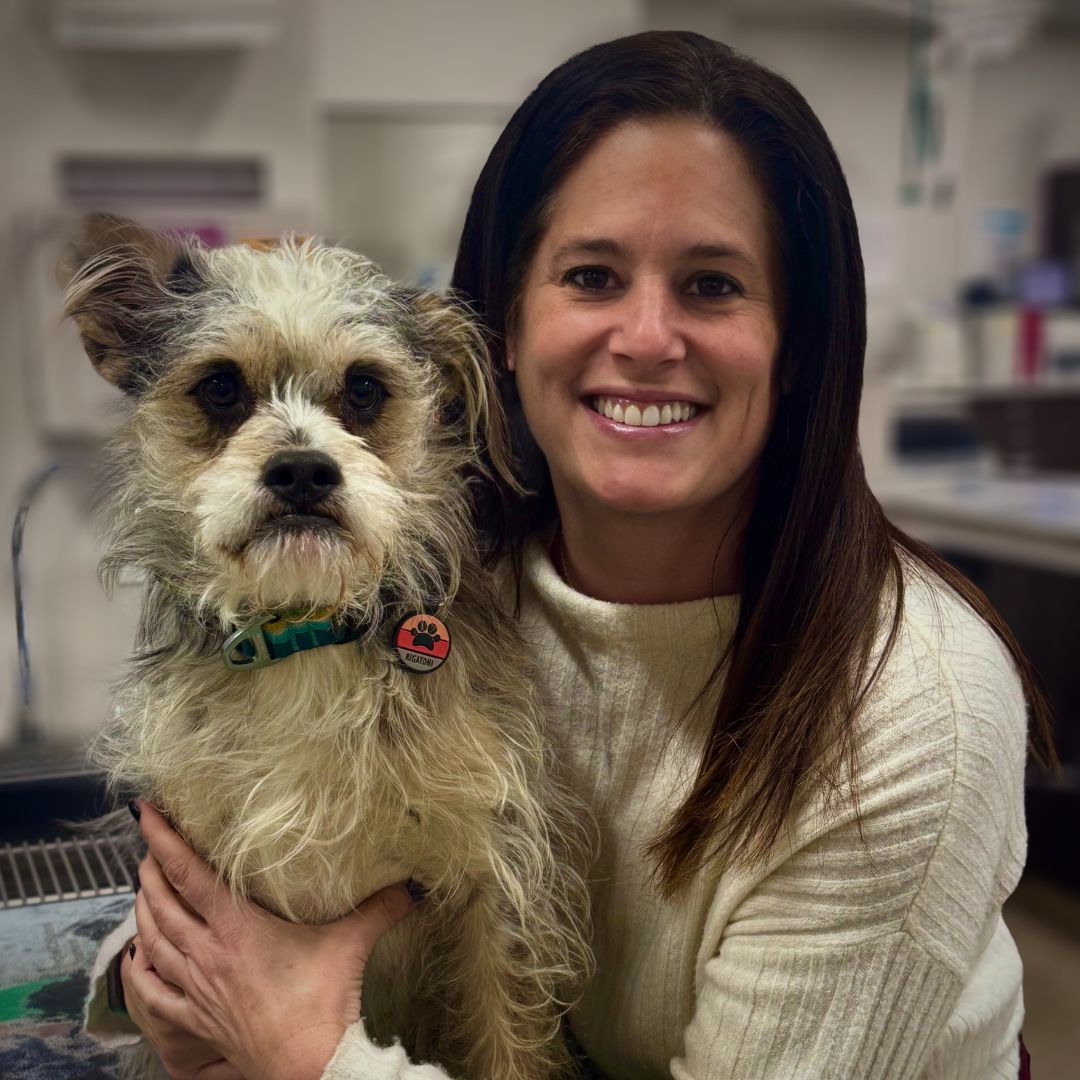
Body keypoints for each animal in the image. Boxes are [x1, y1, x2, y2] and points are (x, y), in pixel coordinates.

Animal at [61, 214, 591, 1075]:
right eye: (220, 388)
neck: (305, 638)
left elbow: (508, 1037)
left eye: (365, 389)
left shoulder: (497, 887)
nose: (303, 471)